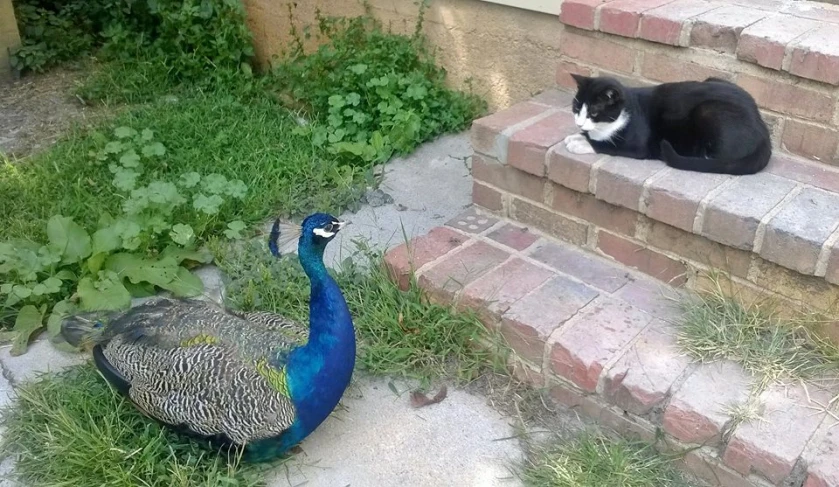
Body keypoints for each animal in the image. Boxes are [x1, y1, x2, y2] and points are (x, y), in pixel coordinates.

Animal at [564, 75, 776, 176]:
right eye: (576, 107)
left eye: (593, 112)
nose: (578, 123)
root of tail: (764, 133)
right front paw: (577, 136)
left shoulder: (638, 144)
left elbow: (608, 145)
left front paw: (579, 143)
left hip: (708, 110)